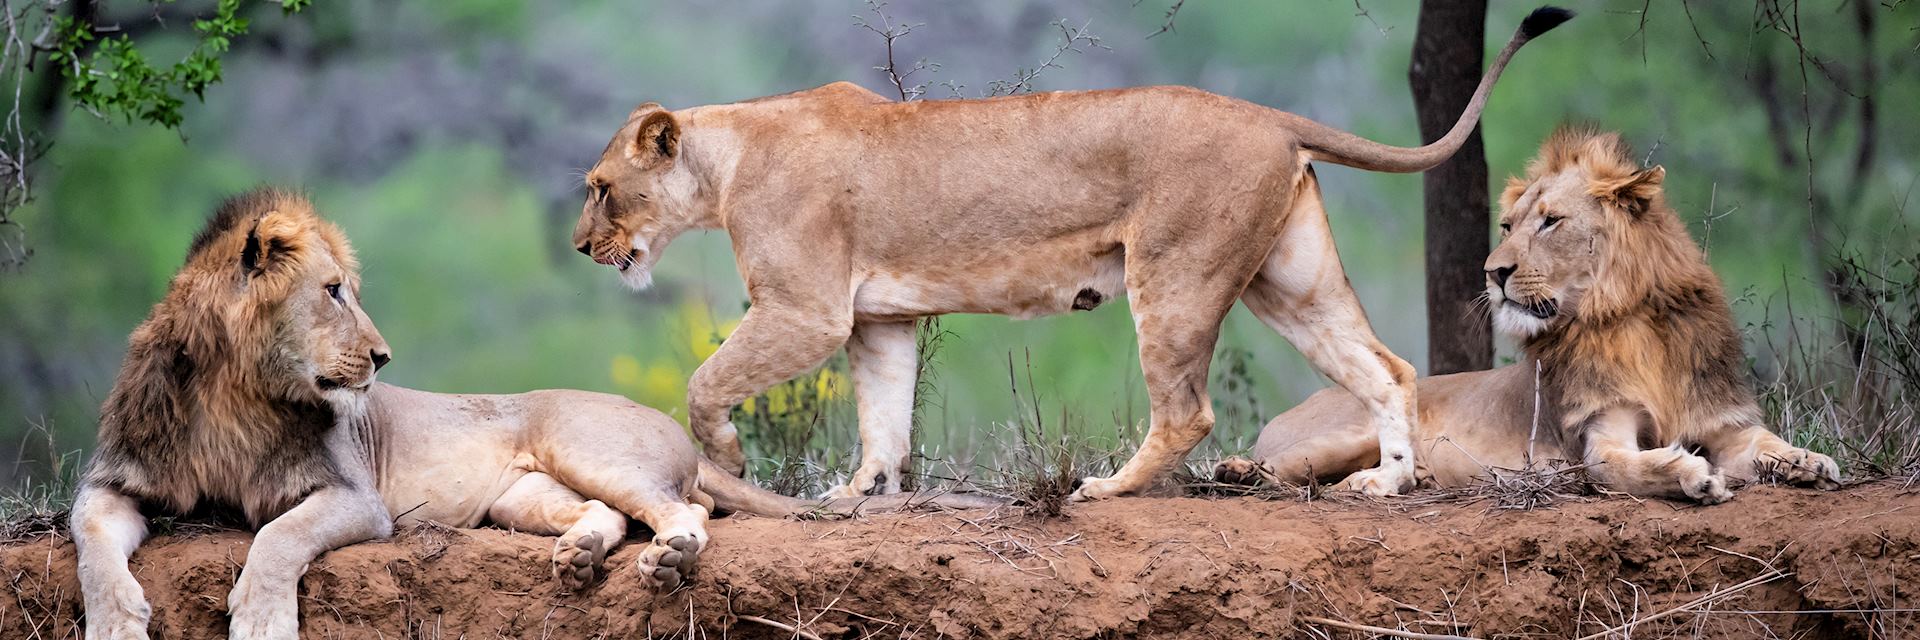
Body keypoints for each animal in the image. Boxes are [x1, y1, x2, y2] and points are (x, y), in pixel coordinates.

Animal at [67, 189, 998, 638]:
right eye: (332, 292)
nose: (382, 358)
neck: (236, 392)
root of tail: (673, 427)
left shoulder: (352, 496)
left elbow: (273, 539)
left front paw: (260, 619)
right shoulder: (118, 478)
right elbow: (89, 543)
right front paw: (114, 623)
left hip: (590, 444)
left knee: (684, 511)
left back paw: (666, 561)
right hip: (525, 495)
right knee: (604, 516)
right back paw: (581, 558)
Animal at [568, 8, 1574, 499]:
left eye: (599, 186)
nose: (580, 246)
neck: (727, 158)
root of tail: (1267, 114)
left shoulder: (805, 312)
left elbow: (706, 382)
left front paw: (732, 465)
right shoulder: (876, 320)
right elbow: (883, 417)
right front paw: (859, 495)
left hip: (1174, 274)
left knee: (1189, 412)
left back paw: (1106, 488)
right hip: (1290, 281)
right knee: (1386, 368)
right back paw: (1386, 484)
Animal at [1213, 126, 1843, 499]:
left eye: (1550, 222)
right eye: (1508, 226)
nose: (1493, 272)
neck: (1627, 320)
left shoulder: (1725, 424)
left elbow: (1767, 443)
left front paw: (1810, 462)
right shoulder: (1597, 441)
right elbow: (1635, 465)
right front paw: (1692, 473)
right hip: (1350, 429)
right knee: (1279, 464)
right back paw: (1239, 471)